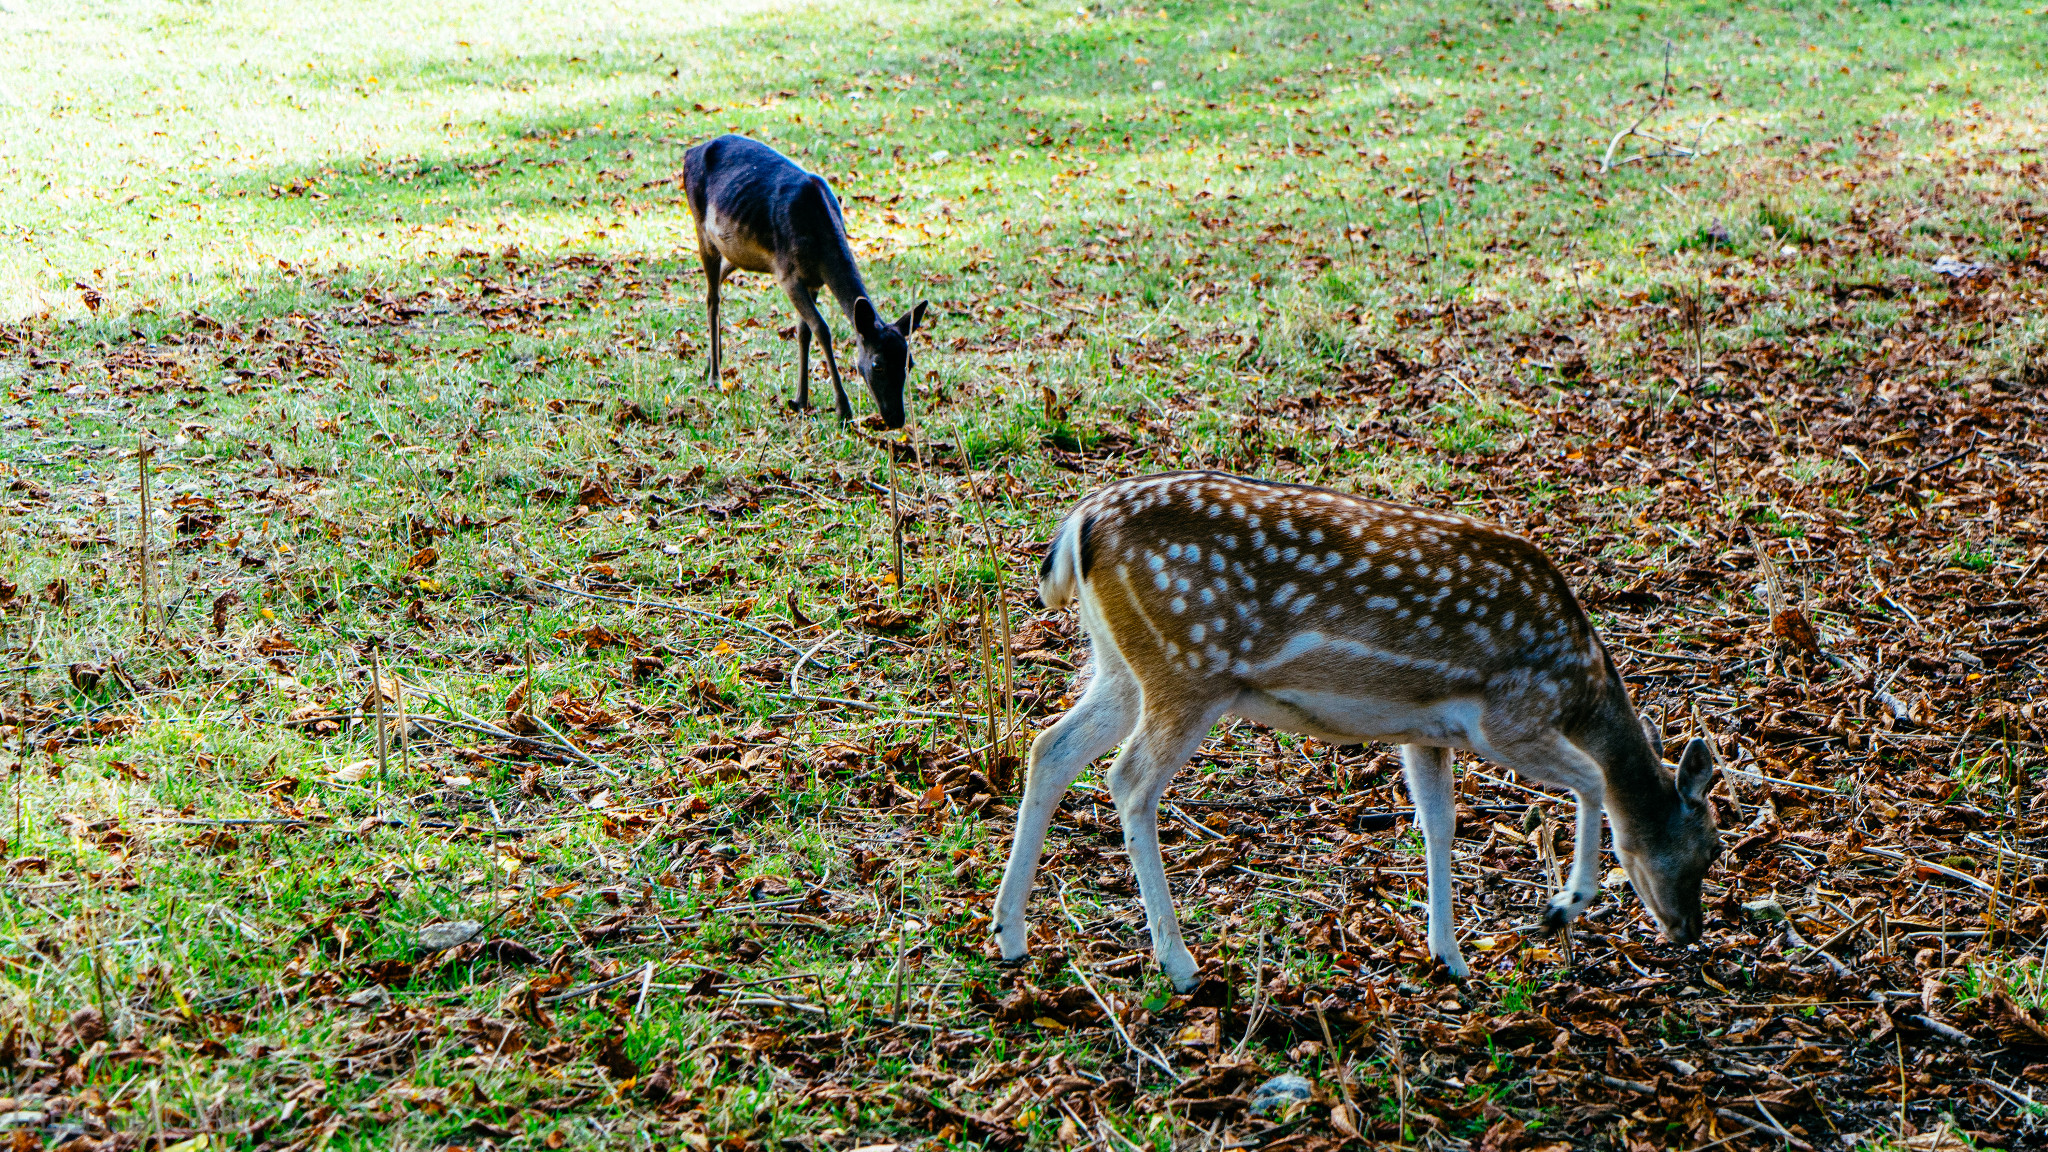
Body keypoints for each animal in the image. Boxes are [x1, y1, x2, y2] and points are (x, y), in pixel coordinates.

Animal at [991, 469, 1712, 988]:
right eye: (1707, 848)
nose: (1690, 930)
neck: (1579, 686)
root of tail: (1077, 527)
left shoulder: (1428, 731)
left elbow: (1439, 823)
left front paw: (1450, 957)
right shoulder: (1510, 718)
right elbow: (1592, 780)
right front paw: (1560, 905)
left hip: (1121, 666)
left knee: (1050, 748)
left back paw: (1010, 936)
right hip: (1187, 668)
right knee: (1130, 780)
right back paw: (1179, 965)